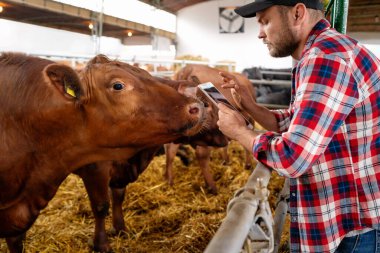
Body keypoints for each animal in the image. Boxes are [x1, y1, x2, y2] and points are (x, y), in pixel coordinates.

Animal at [0, 53, 206, 253]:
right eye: (118, 85)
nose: (197, 106)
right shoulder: (95, 168)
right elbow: (100, 205)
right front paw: (101, 244)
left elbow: (118, 196)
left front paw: (120, 228)